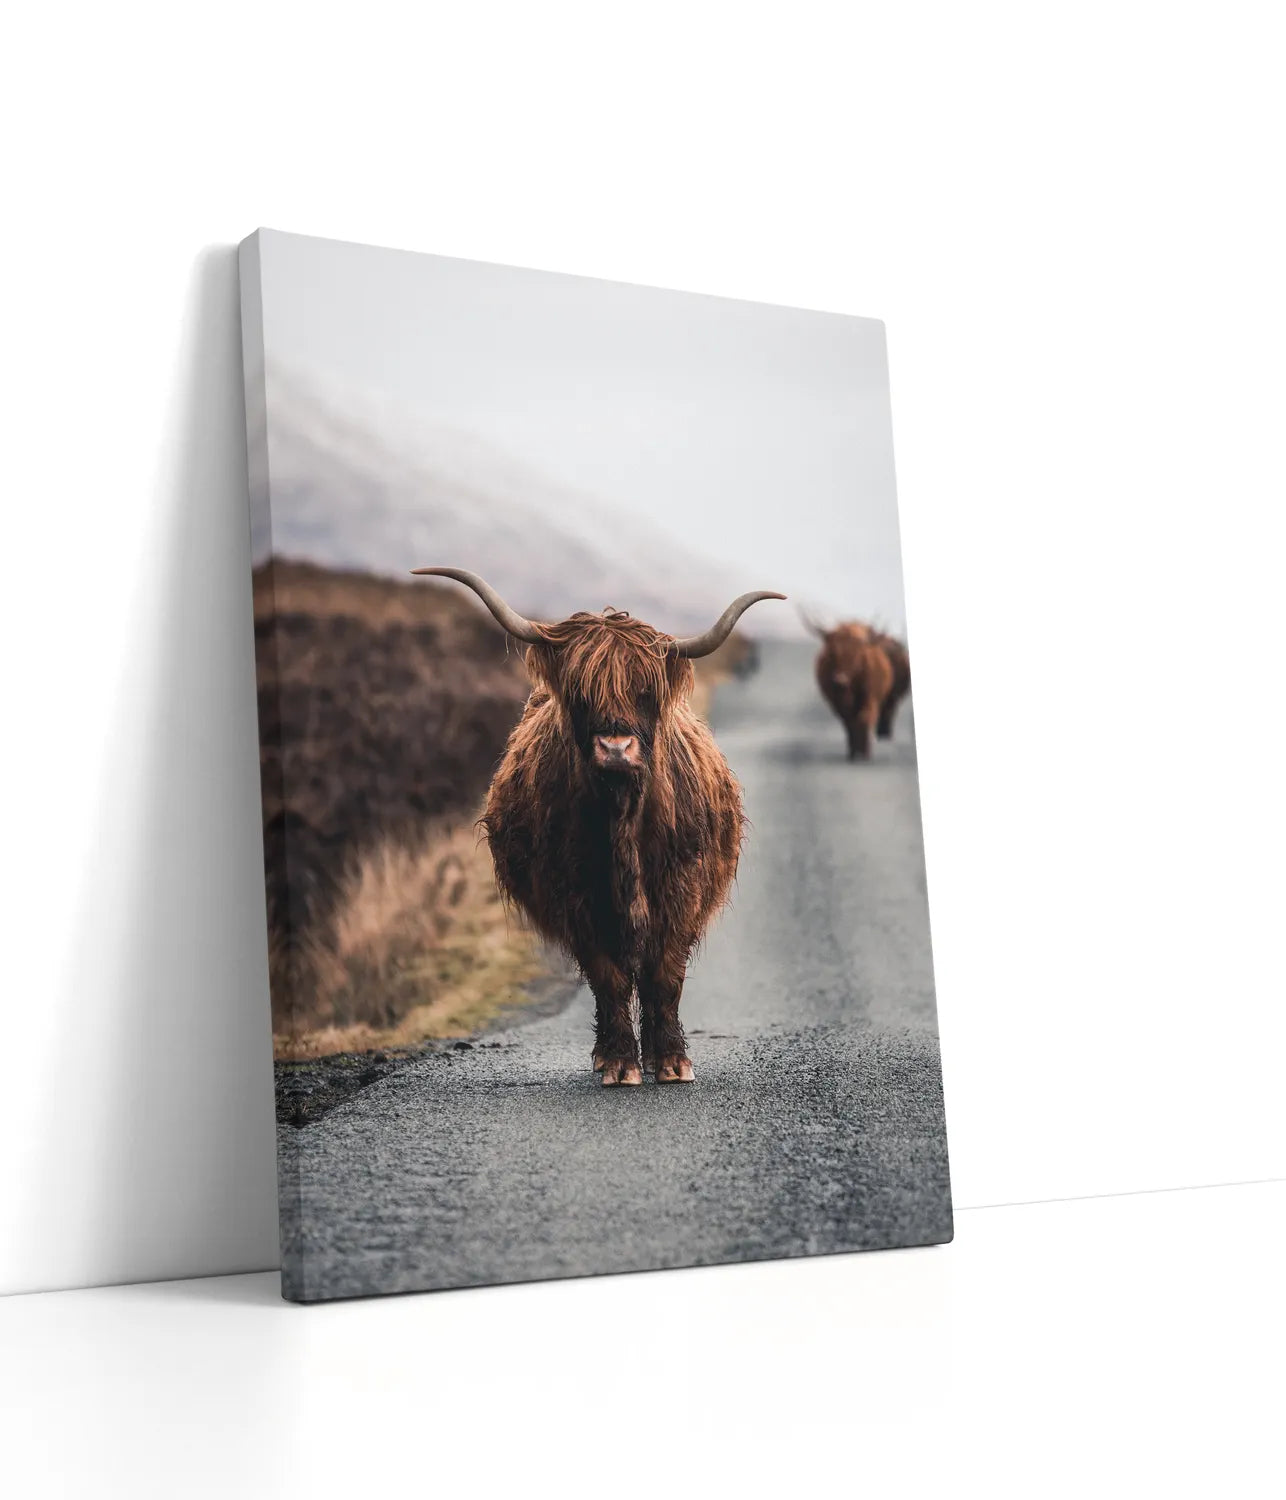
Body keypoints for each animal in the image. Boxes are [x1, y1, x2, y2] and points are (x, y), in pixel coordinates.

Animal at [411, 567, 785, 1085]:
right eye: (582, 694)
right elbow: (607, 976)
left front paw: (672, 1062)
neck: (621, 814)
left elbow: (664, 973)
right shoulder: (573, 895)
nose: (615, 748)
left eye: (645, 693)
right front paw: (619, 1062)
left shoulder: (683, 886)